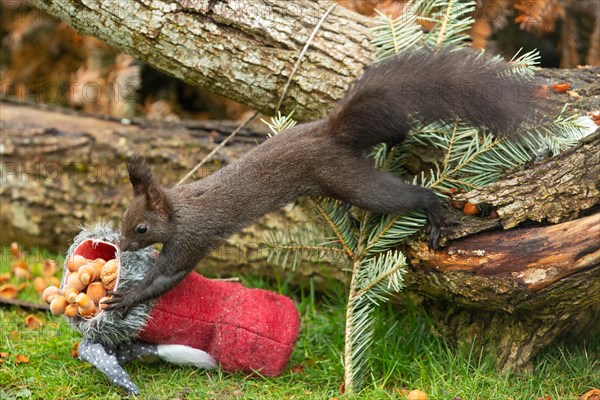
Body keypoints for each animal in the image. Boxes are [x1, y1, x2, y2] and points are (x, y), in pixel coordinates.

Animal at [106, 47, 540, 312]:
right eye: (122, 220)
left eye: (141, 228)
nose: (122, 246)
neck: (178, 209)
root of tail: (330, 132)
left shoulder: (191, 239)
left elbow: (169, 276)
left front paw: (126, 297)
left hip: (348, 179)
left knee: (408, 196)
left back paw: (433, 211)